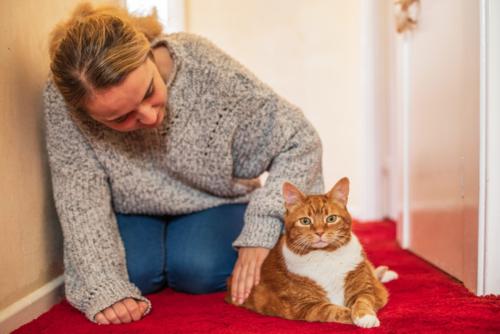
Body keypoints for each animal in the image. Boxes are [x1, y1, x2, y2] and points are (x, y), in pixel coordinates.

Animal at [227, 179, 398, 328]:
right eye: (305, 221)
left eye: (331, 218)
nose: (320, 232)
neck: (324, 256)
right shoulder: (305, 306)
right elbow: (333, 310)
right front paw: (351, 315)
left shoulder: (363, 288)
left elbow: (363, 300)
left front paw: (365, 316)